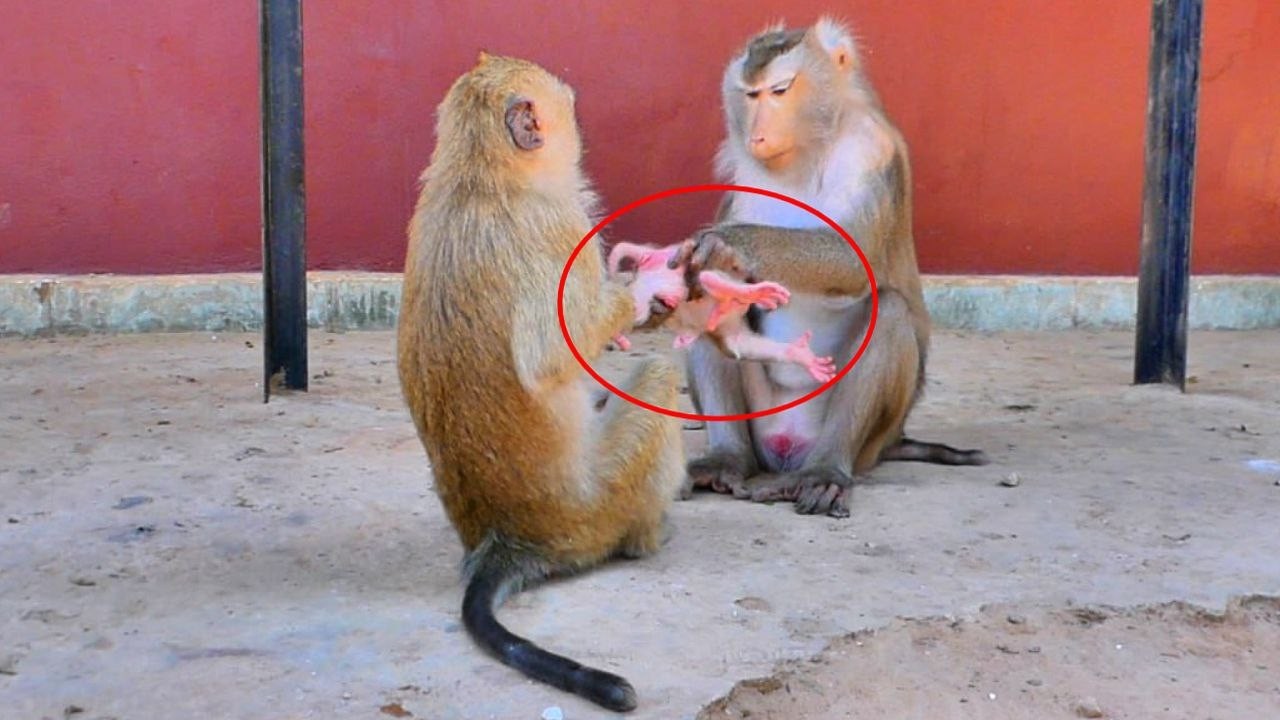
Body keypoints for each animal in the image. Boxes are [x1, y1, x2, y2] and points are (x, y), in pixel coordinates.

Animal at [396, 53, 684, 713]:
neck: (476, 174)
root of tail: (509, 538)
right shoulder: (558, 224)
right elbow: (549, 352)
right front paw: (639, 292)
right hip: (598, 505)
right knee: (659, 376)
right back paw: (645, 536)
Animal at [669, 18, 987, 518]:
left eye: (780, 90)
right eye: (750, 95)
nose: (758, 136)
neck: (806, 150)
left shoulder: (870, 151)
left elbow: (852, 261)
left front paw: (726, 243)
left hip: (867, 439)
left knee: (889, 311)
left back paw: (824, 471)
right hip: (760, 415)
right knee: (708, 305)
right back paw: (727, 458)